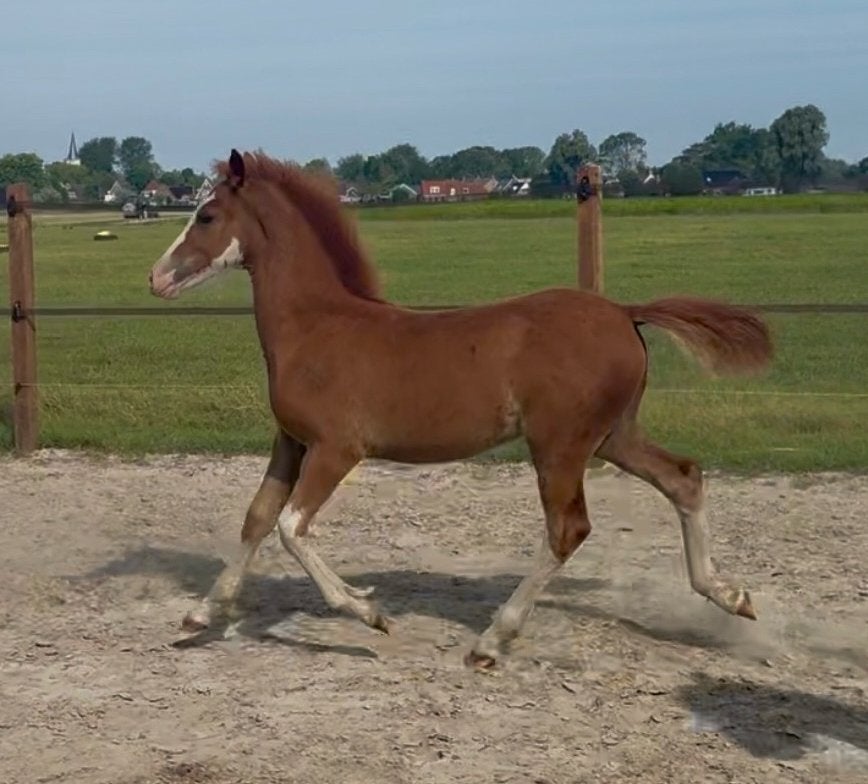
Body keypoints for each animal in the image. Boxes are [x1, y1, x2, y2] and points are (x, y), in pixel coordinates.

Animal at [148, 149, 772, 669]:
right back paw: (731, 595)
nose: (156, 278)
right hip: (614, 435)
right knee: (683, 478)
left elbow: (291, 528)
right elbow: (257, 517)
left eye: (206, 216)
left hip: (560, 444)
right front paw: (201, 613)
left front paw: (368, 612)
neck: (316, 327)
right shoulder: (291, 441)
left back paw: (491, 641)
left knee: (567, 529)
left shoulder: (336, 449)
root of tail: (624, 311)